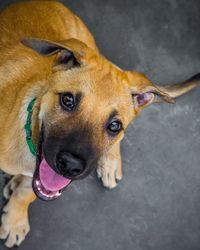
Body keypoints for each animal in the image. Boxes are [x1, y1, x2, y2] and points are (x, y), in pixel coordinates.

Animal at [0, 0, 198, 248]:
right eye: (67, 100)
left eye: (114, 126)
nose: (71, 166)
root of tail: (51, 3)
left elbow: (27, 192)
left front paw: (15, 219)